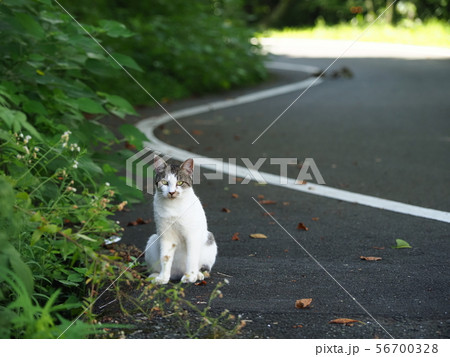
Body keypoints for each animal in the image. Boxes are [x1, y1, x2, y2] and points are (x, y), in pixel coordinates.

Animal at [145, 154, 217, 282]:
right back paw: (155, 275)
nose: (172, 192)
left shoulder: (192, 235)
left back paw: (198, 275)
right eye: (164, 182)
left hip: (210, 239)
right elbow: (165, 257)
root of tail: (177, 274)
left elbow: (191, 257)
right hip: (152, 241)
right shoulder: (166, 236)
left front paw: (190, 276)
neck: (173, 206)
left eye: (179, 182)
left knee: (202, 266)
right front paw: (163, 278)